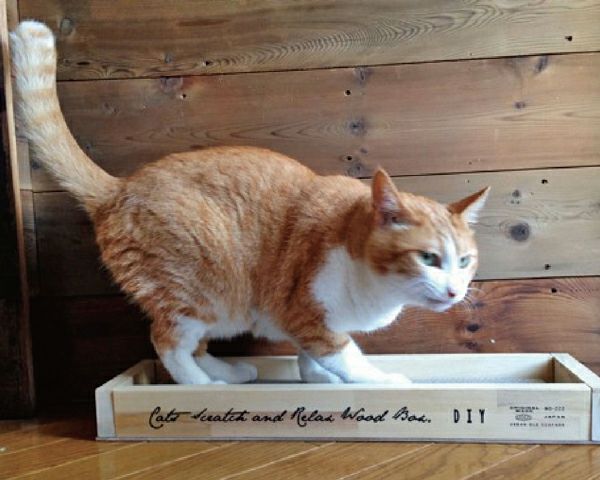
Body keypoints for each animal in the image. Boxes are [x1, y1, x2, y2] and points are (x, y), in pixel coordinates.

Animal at [11, 21, 489, 385]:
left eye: (465, 262)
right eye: (428, 258)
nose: (454, 291)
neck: (375, 285)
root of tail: (119, 187)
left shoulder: (307, 326)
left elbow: (310, 361)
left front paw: (318, 380)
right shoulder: (309, 315)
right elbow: (348, 359)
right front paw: (383, 381)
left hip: (217, 307)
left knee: (194, 344)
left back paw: (232, 373)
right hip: (201, 289)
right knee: (167, 342)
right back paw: (204, 388)